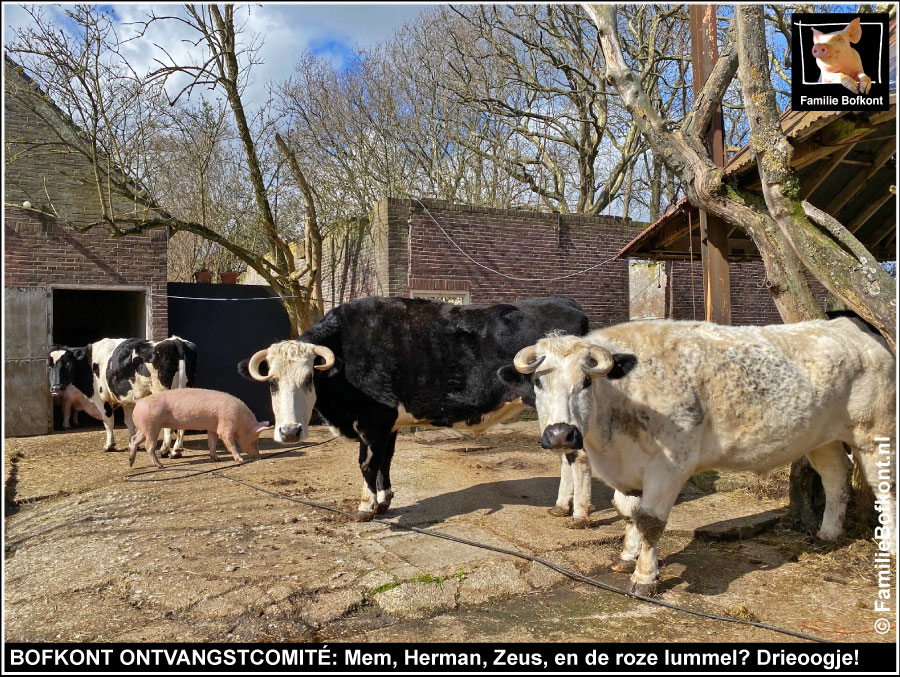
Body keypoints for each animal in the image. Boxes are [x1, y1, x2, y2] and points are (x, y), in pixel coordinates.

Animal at [49, 334, 197, 452]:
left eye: (68, 363)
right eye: (50, 366)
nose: (55, 387)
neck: (90, 361)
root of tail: (175, 340)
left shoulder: (102, 398)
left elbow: (108, 421)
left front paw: (109, 445)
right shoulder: (127, 399)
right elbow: (129, 421)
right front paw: (132, 443)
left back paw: (165, 450)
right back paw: (177, 449)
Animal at [128, 388, 270, 468]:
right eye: (254, 440)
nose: (259, 457)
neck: (241, 421)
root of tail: (139, 401)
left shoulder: (213, 428)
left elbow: (212, 443)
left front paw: (216, 459)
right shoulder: (225, 426)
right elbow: (230, 443)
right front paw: (240, 460)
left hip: (144, 428)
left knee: (134, 439)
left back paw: (130, 463)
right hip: (152, 427)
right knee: (148, 446)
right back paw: (160, 465)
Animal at [239, 294, 592, 520]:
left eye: (309, 377)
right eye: (272, 382)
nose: (289, 431)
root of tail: (569, 304)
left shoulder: (373, 421)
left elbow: (367, 463)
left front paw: (366, 507)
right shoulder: (388, 424)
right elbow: (385, 461)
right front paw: (384, 500)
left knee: (578, 455)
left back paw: (579, 514)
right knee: (565, 452)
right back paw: (562, 506)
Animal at [510, 314, 896, 596]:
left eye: (586, 381)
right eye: (538, 382)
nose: (561, 434)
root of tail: (849, 325)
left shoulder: (669, 466)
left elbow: (650, 520)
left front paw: (645, 577)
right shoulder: (628, 467)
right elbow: (626, 510)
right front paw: (628, 555)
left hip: (873, 434)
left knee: (884, 488)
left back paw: (889, 547)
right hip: (822, 439)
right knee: (836, 479)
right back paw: (828, 533)